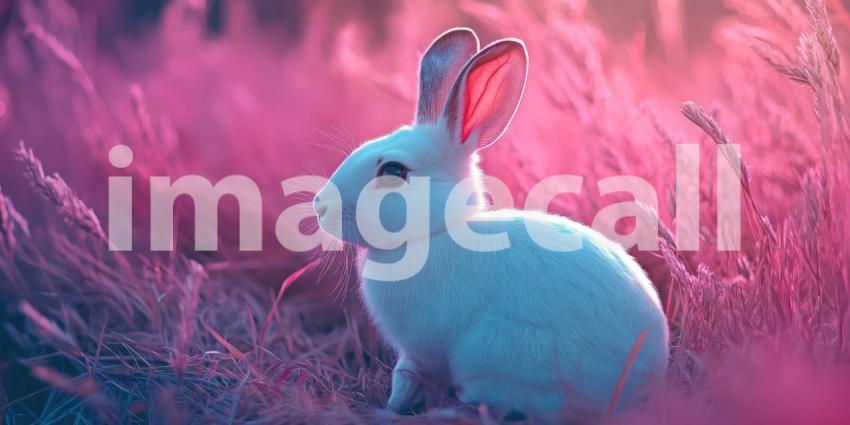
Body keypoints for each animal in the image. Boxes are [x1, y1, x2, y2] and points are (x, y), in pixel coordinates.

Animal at [313, 28, 669, 421]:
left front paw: (389, 409)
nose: (320, 206)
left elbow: (405, 379)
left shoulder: (420, 351)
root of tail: (639, 386)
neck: (435, 232)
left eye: (394, 170)